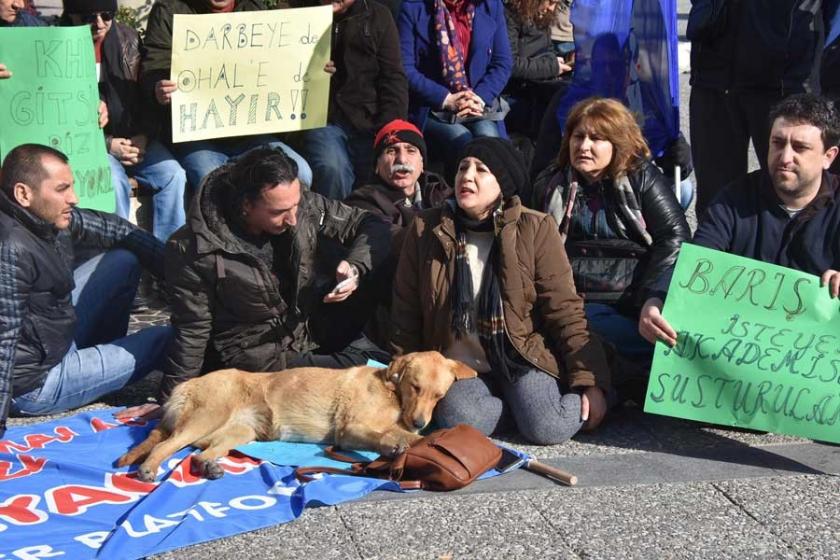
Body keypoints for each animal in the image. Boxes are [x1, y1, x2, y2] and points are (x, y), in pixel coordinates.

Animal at [115, 352, 476, 480]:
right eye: (416, 387)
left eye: (439, 396)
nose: (420, 421)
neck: (392, 388)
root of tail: (184, 385)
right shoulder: (349, 429)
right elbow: (387, 435)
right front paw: (402, 444)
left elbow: (400, 435)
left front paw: (423, 439)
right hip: (209, 415)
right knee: (164, 445)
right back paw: (148, 469)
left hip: (238, 432)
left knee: (199, 453)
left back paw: (210, 466)